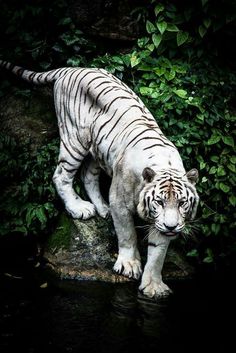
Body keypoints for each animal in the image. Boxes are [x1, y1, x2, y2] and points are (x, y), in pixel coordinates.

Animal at [0, 60, 199, 296]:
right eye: (159, 202)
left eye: (182, 203)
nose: (172, 227)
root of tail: (72, 68)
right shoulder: (120, 202)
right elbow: (127, 234)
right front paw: (128, 265)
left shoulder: (160, 222)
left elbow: (158, 252)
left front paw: (153, 286)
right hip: (74, 139)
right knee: (61, 175)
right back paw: (79, 208)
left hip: (98, 150)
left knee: (87, 175)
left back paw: (102, 208)